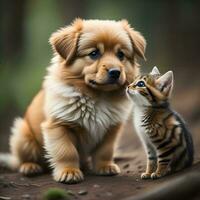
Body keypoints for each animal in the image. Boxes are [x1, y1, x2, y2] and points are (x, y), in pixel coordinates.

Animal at [0, 18, 146, 183]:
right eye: (94, 53)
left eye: (120, 54)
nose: (115, 72)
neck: (98, 97)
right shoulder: (58, 126)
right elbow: (66, 152)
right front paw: (69, 172)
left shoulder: (111, 129)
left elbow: (105, 151)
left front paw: (104, 167)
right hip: (23, 136)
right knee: (22, 160)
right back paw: (30, 167)